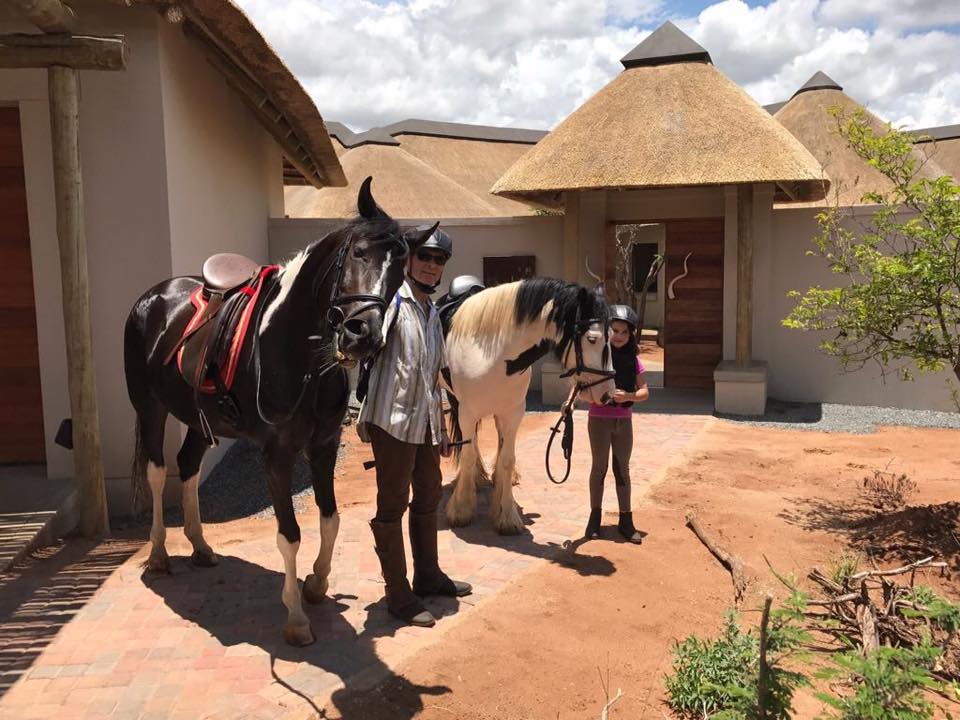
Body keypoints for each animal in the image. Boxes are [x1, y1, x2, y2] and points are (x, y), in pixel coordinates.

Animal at [124, 178, 436, 646]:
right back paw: (160, 553)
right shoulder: (276, 455)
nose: (361, 335)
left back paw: (200, 547)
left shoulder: (323, 446)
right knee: (159, 472)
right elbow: (289, 535)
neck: (293, 349)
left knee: (189, 466)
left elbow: (330, 519)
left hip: (197, 417)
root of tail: (153, 297)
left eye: (400, 271)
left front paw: (317, 584)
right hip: (150, 407)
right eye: (359, 252)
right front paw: (296, 619)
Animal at [443, 277, 616, 534]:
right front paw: (461, 509)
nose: (607, 394)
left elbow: (507, 459)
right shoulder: (467, 412)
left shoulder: (514, 412)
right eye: (592, 339)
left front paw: (506, 514)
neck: (490, 353)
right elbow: (467, 454)